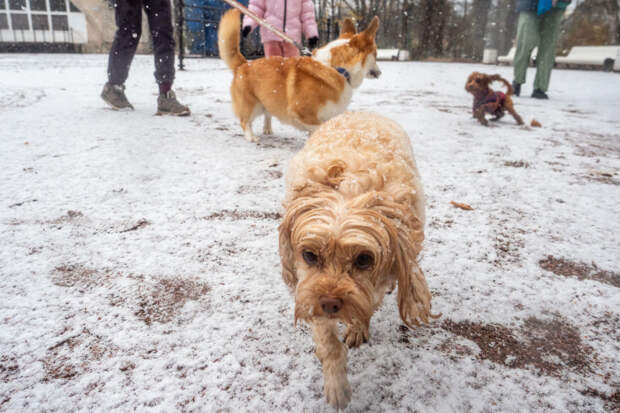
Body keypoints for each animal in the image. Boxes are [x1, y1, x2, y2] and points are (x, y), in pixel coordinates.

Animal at [218, 9, 382, 142]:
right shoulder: (303, 113)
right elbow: (320, 127)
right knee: (245, 121)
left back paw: (267, 129)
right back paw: (251, 137)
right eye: (376, 55)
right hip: (252, 105)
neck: (336, 69)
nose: (380, 73)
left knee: (267, 114)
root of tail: (243, 64)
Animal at [278, 110, 434, 408]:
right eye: (309, 255)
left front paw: (358, 327)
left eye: (363, 259)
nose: (330, 303)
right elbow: (329, 345)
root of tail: (364, 112)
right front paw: (337, 386)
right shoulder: (310, 290)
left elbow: (368, 303)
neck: (351, 188)